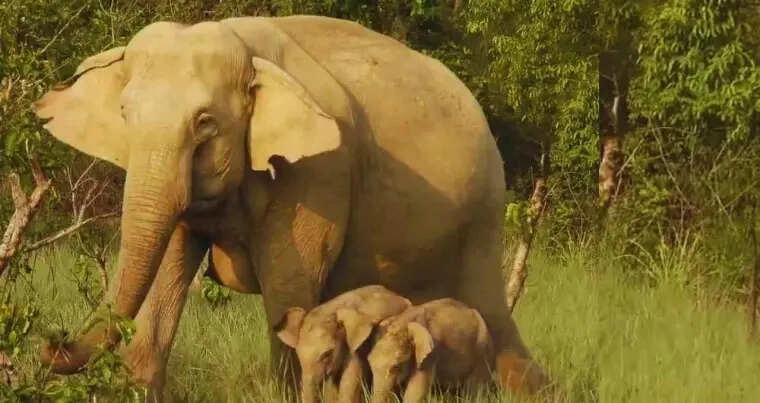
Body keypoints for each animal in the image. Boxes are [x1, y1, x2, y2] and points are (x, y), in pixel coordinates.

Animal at [366, 298, 495, 403]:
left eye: (396, 366)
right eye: (370, 363)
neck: (403, 323)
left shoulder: (431, 354)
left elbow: (415, 393)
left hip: (482, 351)